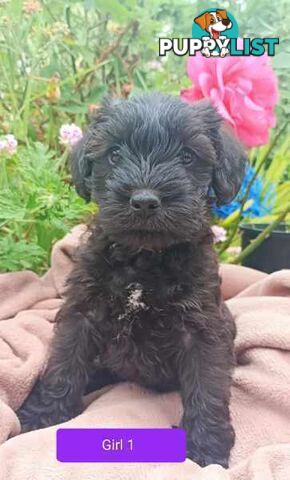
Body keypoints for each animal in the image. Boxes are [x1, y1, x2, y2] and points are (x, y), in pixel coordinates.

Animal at [18, 94, 246, 468]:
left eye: (187, 156)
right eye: (114, 154)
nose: (144, 201)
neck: (144, 259)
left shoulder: (202, 329)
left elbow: (207, 386)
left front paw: (206, 450)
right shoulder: (83, 312)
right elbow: (64, 364)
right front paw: (41, 416)